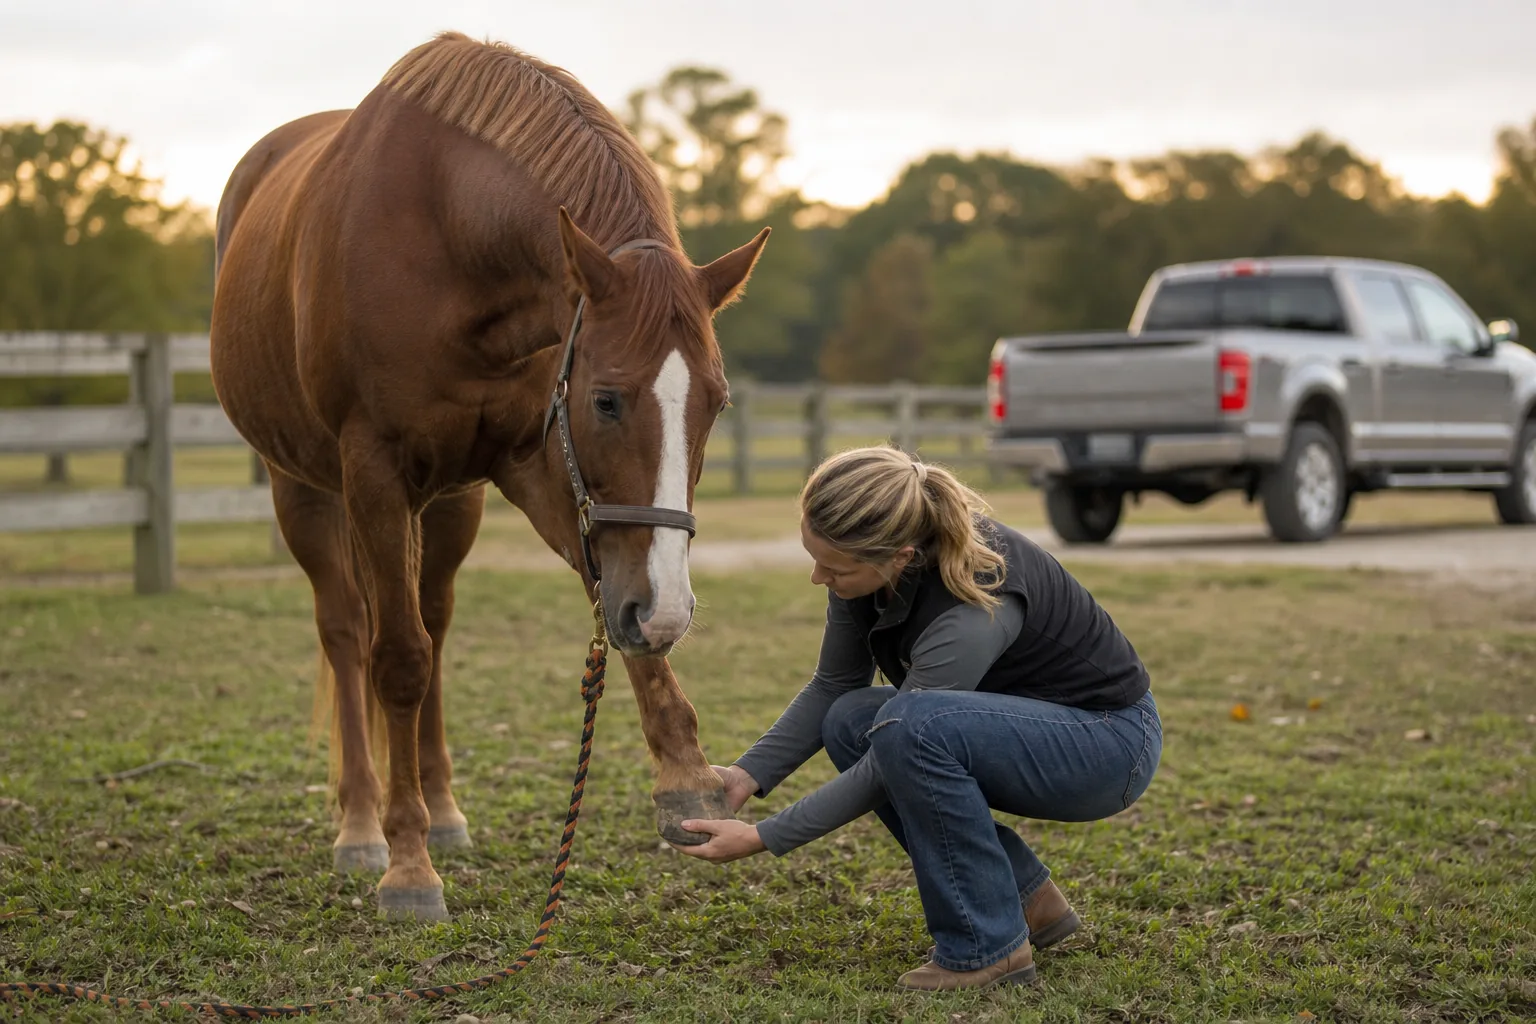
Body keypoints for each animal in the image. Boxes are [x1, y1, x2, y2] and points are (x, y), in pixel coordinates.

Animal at [208, 31, 769, 921]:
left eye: (716, 403)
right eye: (607, 400)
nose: (671, 611)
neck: (452, 241)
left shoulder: (536, 467)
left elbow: (603, 603)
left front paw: (686, 777)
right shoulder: (374, 472)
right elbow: (395, 661)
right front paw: (407, 867)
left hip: (451, 503)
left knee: (433, 623)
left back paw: (441, 813)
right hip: (304, 488)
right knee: (350, 633)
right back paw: (364, 825)